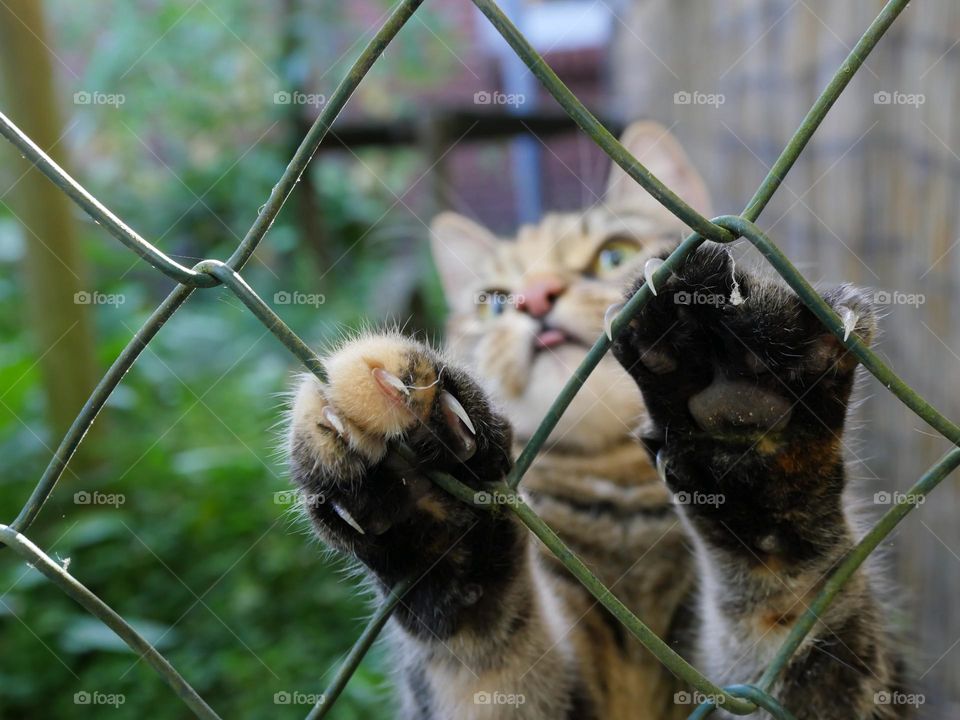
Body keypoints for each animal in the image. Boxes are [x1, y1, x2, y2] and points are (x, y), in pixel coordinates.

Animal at [284, 121, 908, 716]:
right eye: (495, 301)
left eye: (614, 253)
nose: (536, 297)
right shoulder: (507, 688)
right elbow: (477, 638)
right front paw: (420, 495)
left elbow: (791, 592)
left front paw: (757, 430)